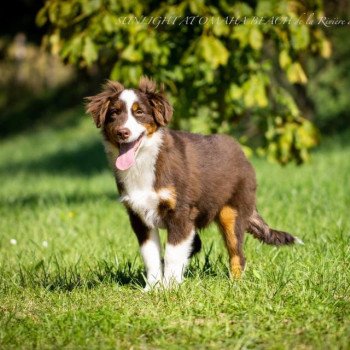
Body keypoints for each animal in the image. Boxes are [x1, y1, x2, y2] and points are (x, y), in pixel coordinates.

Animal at [86, 78, 302, 288]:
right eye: (114, 113)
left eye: (139, 112)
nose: (122, 132)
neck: (144, 161)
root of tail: (241, 152)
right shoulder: (138, 215)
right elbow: (151, 256)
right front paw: (153, 288)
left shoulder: (180, 212)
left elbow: (172, 254)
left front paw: (169, 288)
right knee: (196, 245)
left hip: (231, 212)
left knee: (237, 254)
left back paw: (235, 285)